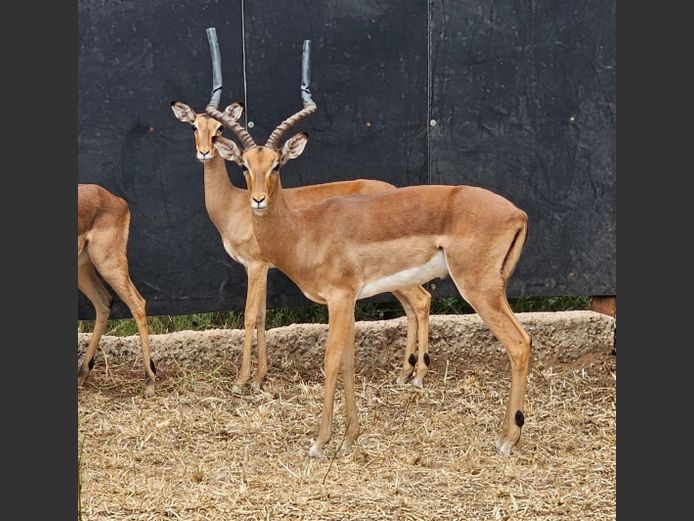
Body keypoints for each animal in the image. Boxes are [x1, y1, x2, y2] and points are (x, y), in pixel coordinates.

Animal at [78, 184, 156, 396]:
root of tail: (118, 200)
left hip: (108, 263)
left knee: (138, 303)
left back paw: (149, 380)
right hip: (85, 267)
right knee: (104, 302)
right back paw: (82, 373)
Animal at [170, 37, 432, 394]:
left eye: (277, 165)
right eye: (194, 126)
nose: (205, 151)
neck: (234, 206)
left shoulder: (256, 266)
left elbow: (251, 315)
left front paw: (242, 381)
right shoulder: (262, 267)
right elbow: (263, 316)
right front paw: (260, 377)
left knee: (421, 299)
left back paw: (417, 375)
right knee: (412, 304)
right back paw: (405, 372)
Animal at [208, 43, 531, 457]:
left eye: (277, 165)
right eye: (246, 167)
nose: (259, 200)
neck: (304, 230)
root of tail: (517, 212)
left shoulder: (339, 297)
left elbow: (332, 359)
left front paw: (320, 442)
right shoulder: (348, 301)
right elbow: (348, 360)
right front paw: (350, 436)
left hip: (478, 289)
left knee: (518, 343)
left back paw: (506, 438)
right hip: (492, 288)